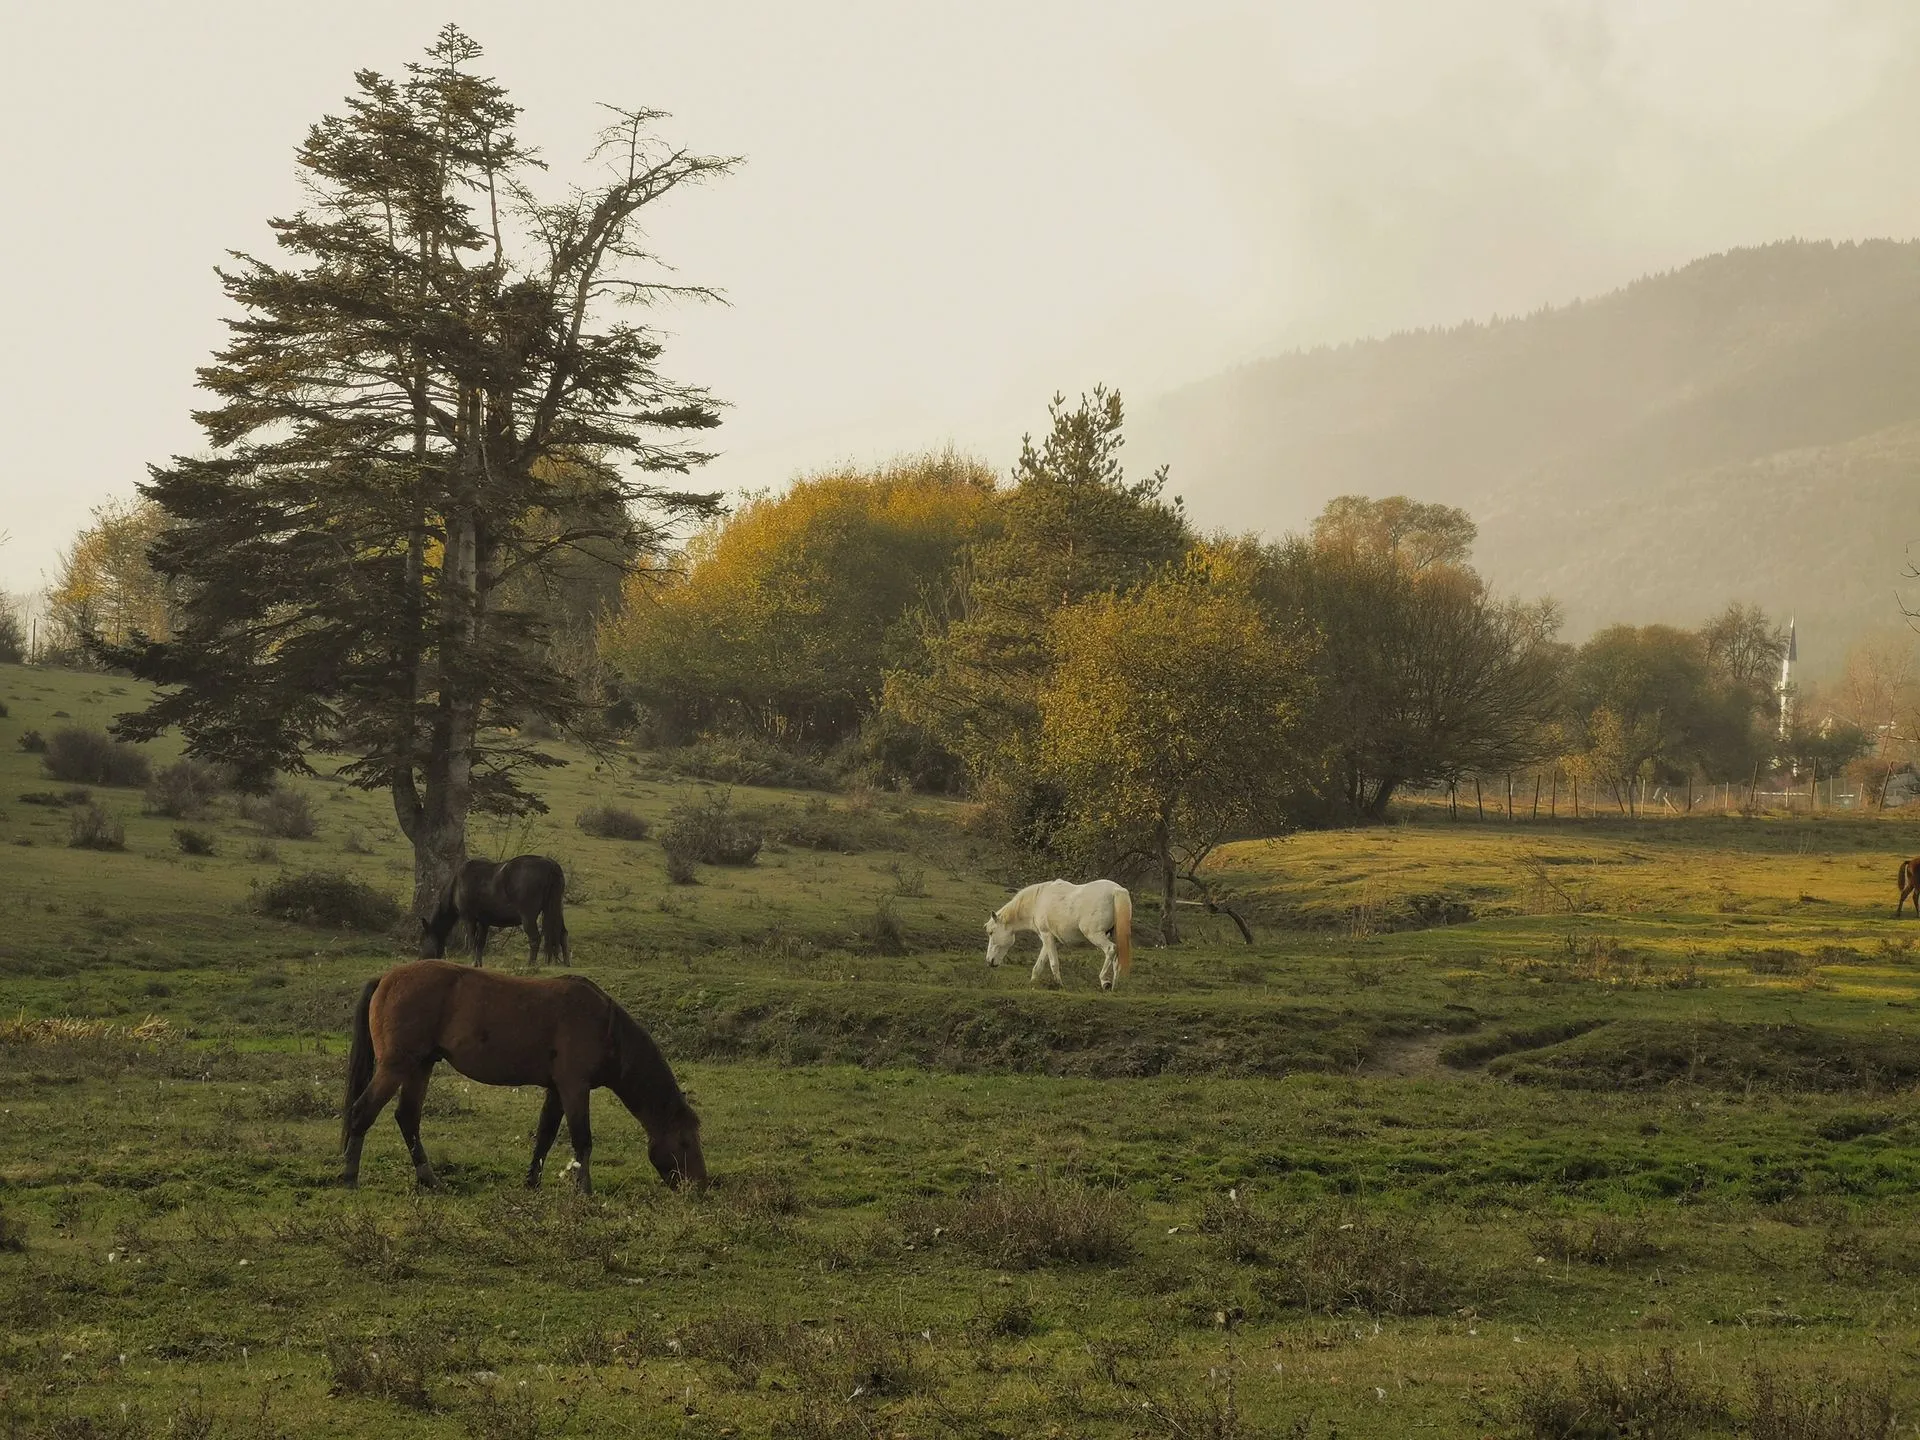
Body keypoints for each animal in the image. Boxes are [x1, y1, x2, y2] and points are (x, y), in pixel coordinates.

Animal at [340, 960, 704, 1195]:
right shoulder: (575, 1087)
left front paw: (532, 1182)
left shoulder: (557, 1089)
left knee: (408, 1119)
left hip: (420, 1067)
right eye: (685, 1141)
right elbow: (582, 1139)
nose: (700, 1184)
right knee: (362, 1113)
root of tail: (386, 978)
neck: (605, 1026)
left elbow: (545, 1135)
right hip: (396, 1067)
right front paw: (584, 1191)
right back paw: (349, 1177)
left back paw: (429, 1180)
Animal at [421, 855, 569, 968]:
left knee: (535, 938)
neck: (456, 885)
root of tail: (550, 865)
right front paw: (478, 964)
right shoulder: (484, 921)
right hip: (556, 910)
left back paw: (530, 964)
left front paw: (471, 961)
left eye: (423, 941)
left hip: (528, 916)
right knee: (562, 933)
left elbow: (471, 941)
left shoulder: (468, 918)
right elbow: (480, 943)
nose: (421, 960)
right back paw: (565, 962)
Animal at [986, 879, 1133, 990]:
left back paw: (1104, 981)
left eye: (991, 932)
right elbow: (1040, 964)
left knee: (1110, 949)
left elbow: (1053, 963)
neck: (1037, 902)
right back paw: (1114, 986)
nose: (989, 961)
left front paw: (1059, 984)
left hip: (1094, 934)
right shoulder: (1049, 938)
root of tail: (1116, 890)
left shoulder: (1046, 936)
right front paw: (1033, 982)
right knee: (1117, 956)